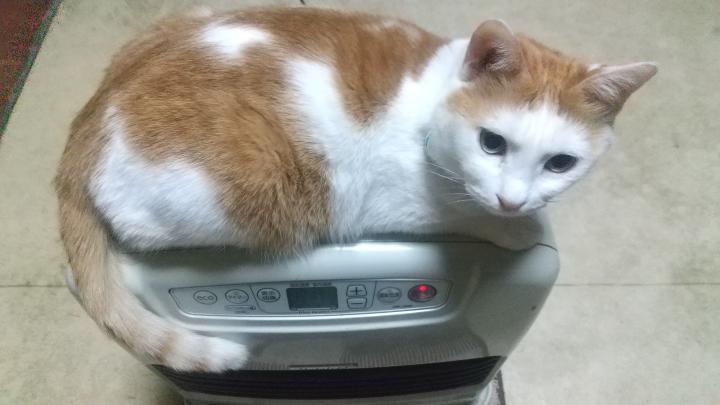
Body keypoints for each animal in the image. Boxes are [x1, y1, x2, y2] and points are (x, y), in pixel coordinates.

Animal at [54, 7, 656, 372]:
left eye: (560, 163)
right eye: (492, 143)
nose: (514, 201)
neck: (429, 103)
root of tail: (89, 117)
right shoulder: (383, 200)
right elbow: (463, 212)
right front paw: (516, 228)